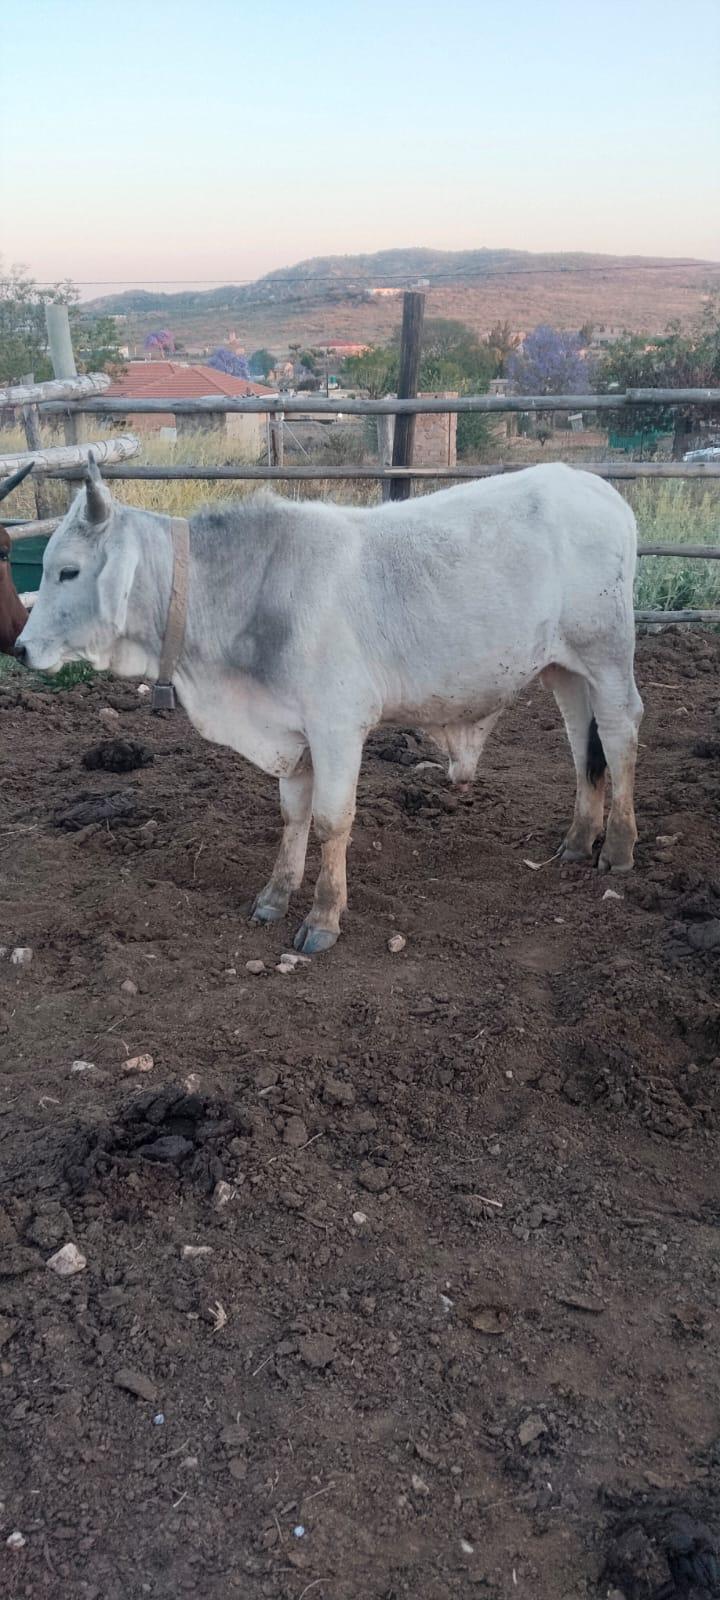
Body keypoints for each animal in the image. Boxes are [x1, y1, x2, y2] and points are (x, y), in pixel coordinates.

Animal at [15, 455, 643, 954]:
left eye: (68, 570)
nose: (20, 648)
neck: (252, 595)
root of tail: (596, 488)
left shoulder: (339, 728)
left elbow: (330, 820)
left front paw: (322, 917)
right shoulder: (293, 735)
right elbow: (293, 815)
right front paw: (273, 896)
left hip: (608, 657)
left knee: (618, 736)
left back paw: (616, 848)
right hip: (564, 671)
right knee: (581, 743)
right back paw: (577, 841)